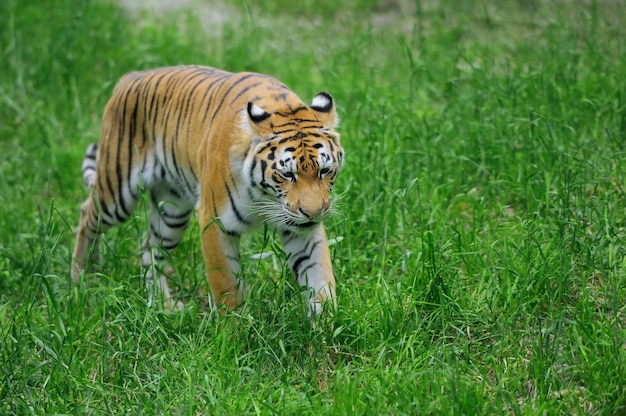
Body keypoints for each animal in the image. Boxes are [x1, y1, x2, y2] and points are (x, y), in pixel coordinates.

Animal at [73, 66, 346, 316]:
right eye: (288, 174)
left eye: (324, 171)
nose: (313, 213)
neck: (265, 197)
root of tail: (130, 76)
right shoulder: (215, 222)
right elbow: (228, 289)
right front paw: (236, 331)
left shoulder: (301, 230)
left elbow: (319, 279)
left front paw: (326, 329)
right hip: (116, 192)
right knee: (87, 215)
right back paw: (83, 279)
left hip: (171, 212)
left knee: (150, 248)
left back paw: (164, 305)